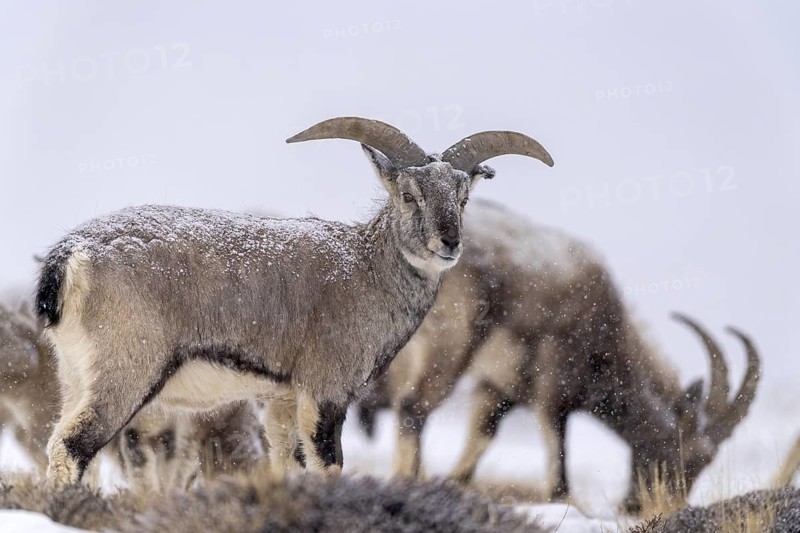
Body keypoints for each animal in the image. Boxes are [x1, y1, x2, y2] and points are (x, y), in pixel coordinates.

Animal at [33, 116, 554, 487]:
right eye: (408, 194)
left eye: (463, 198)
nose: (448, 243)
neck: (364, 269)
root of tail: (70, 256)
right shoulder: (326, 389)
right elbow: (327, 466)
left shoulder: (282, 400)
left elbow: (287, 464)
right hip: (127, 371)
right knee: (73, 447)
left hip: (76, 374)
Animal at [357, 199, 759, 513]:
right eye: (685, 455)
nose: (641, 506)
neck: (606, 327)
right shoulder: (553, 388)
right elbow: (559, 473)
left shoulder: (495, 389)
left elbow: (477, 447)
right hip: (451, 345)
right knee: (413, 408)